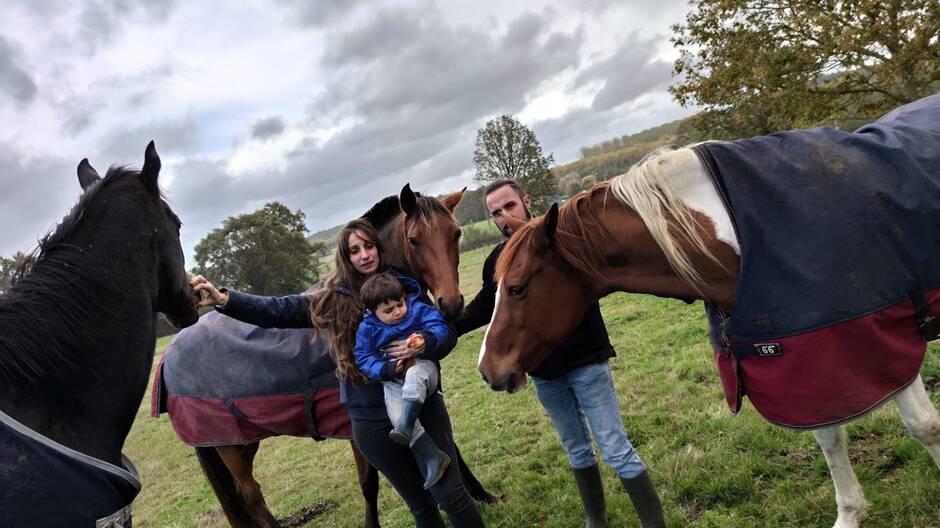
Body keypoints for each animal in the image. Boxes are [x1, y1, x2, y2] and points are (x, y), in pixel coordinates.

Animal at [151, 184, 496, 524]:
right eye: (414, 239)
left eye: (455, 233)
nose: (452, 304)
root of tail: (168, 355)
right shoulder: (356, 427)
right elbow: (369, 481)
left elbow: (448, 448)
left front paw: (481, 495)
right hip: (231, 447)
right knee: (250, 495)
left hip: (240, 444)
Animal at [478, 96, 940, 528]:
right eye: (495, 288)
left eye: (516, 289)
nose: (487, 370)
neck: (735, 233)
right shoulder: (804, 354)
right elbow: (829, 434)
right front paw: (849, 513)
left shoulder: (882, 341)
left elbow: (923, 425)